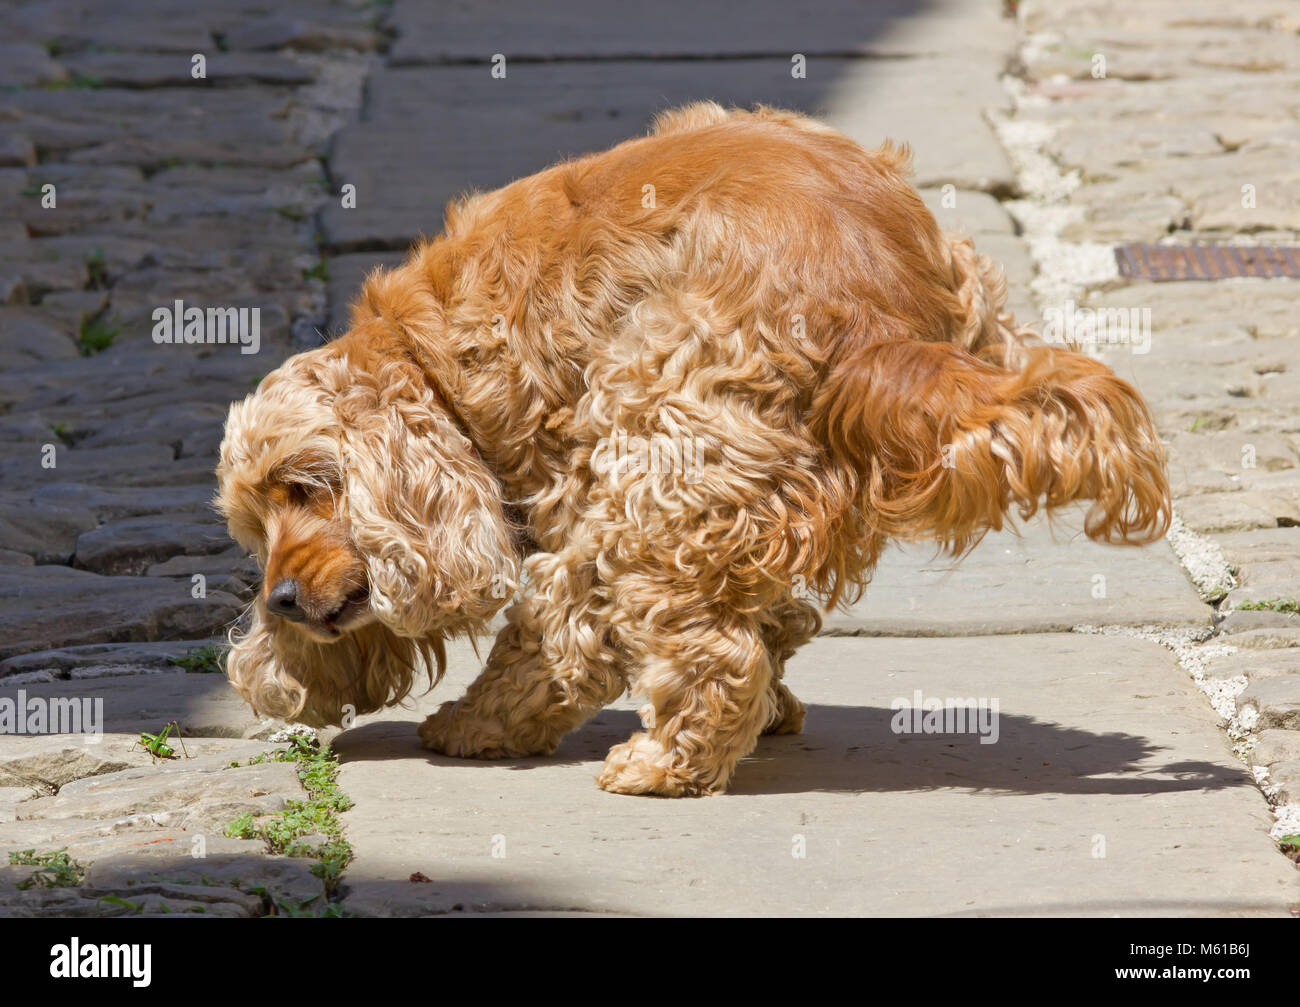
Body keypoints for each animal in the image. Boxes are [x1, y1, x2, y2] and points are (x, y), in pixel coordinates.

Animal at [213, 102, 1170, 795]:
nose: (283, 600)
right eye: (255, 531)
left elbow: (558, 636)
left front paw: (477, 726)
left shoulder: (582, 489)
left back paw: (661, 763)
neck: (434, 359)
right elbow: (766, 612)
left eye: (307, 485)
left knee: (708, 651)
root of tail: (867, 296)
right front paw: (782, 698)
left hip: (654, 444)